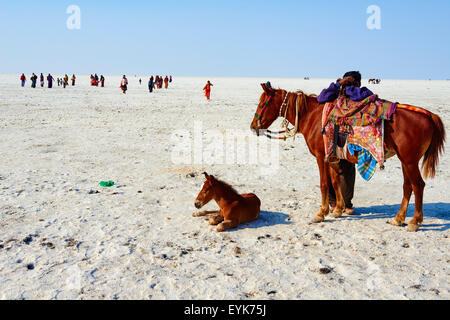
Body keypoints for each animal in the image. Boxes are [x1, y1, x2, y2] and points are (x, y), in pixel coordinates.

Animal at [251, 84, 444, 231]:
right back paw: (398, 219)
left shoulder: (321, 157)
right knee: (407, 186)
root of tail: (429, 116)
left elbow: (324, 183)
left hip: (410, 161)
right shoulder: (332, 156)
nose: (253, 126)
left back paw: (414, 222)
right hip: (405, 160)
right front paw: (337, 209)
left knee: (418, 185)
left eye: (262, 104)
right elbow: (335, 181)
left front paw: (321, 213)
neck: (311, 116)